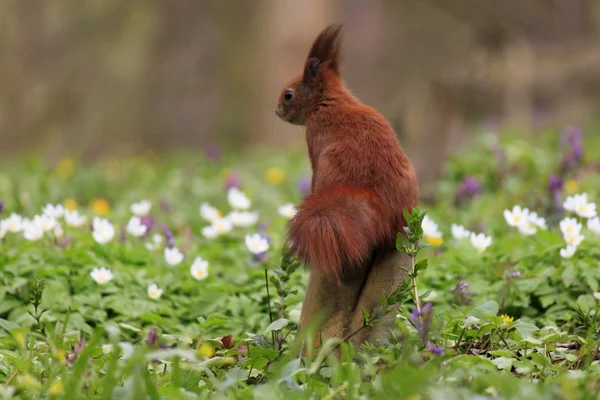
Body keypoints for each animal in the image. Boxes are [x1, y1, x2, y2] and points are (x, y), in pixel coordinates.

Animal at [276, 23, 418, 282]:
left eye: (288, 94)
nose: (277, 110)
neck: (330, 101)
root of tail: (384, 211)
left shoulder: (314, 139)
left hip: (328, 168)